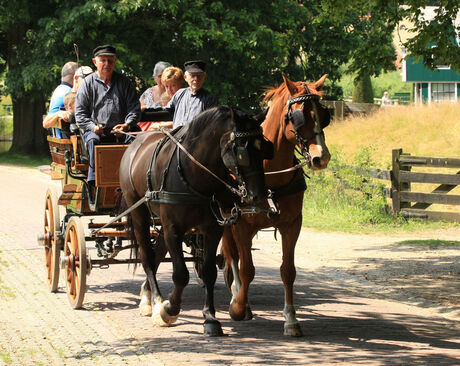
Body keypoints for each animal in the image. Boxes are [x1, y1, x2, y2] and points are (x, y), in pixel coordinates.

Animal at [119, 104, 274, 336]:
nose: (259, 195)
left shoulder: (212, 229)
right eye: (241, 151)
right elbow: (180, 274)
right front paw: (169, 310)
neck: (194, 174)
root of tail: (135, 144)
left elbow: (209, 272)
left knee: (157, 254)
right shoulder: (173, 228)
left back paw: (148, 295)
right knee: (147, 258)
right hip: (139, 215)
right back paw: (154, 302)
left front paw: (210, 318)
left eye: (264, 148)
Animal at [222, 74, 330, 338]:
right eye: (299, 116)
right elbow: (247, 269)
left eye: (323, 115)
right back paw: (238, 297)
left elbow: (287, 270)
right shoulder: (241, 225)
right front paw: (239, 307)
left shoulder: (292, 225)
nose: (321, 157)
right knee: (232, 257)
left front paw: (291, 319)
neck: (268, 173)